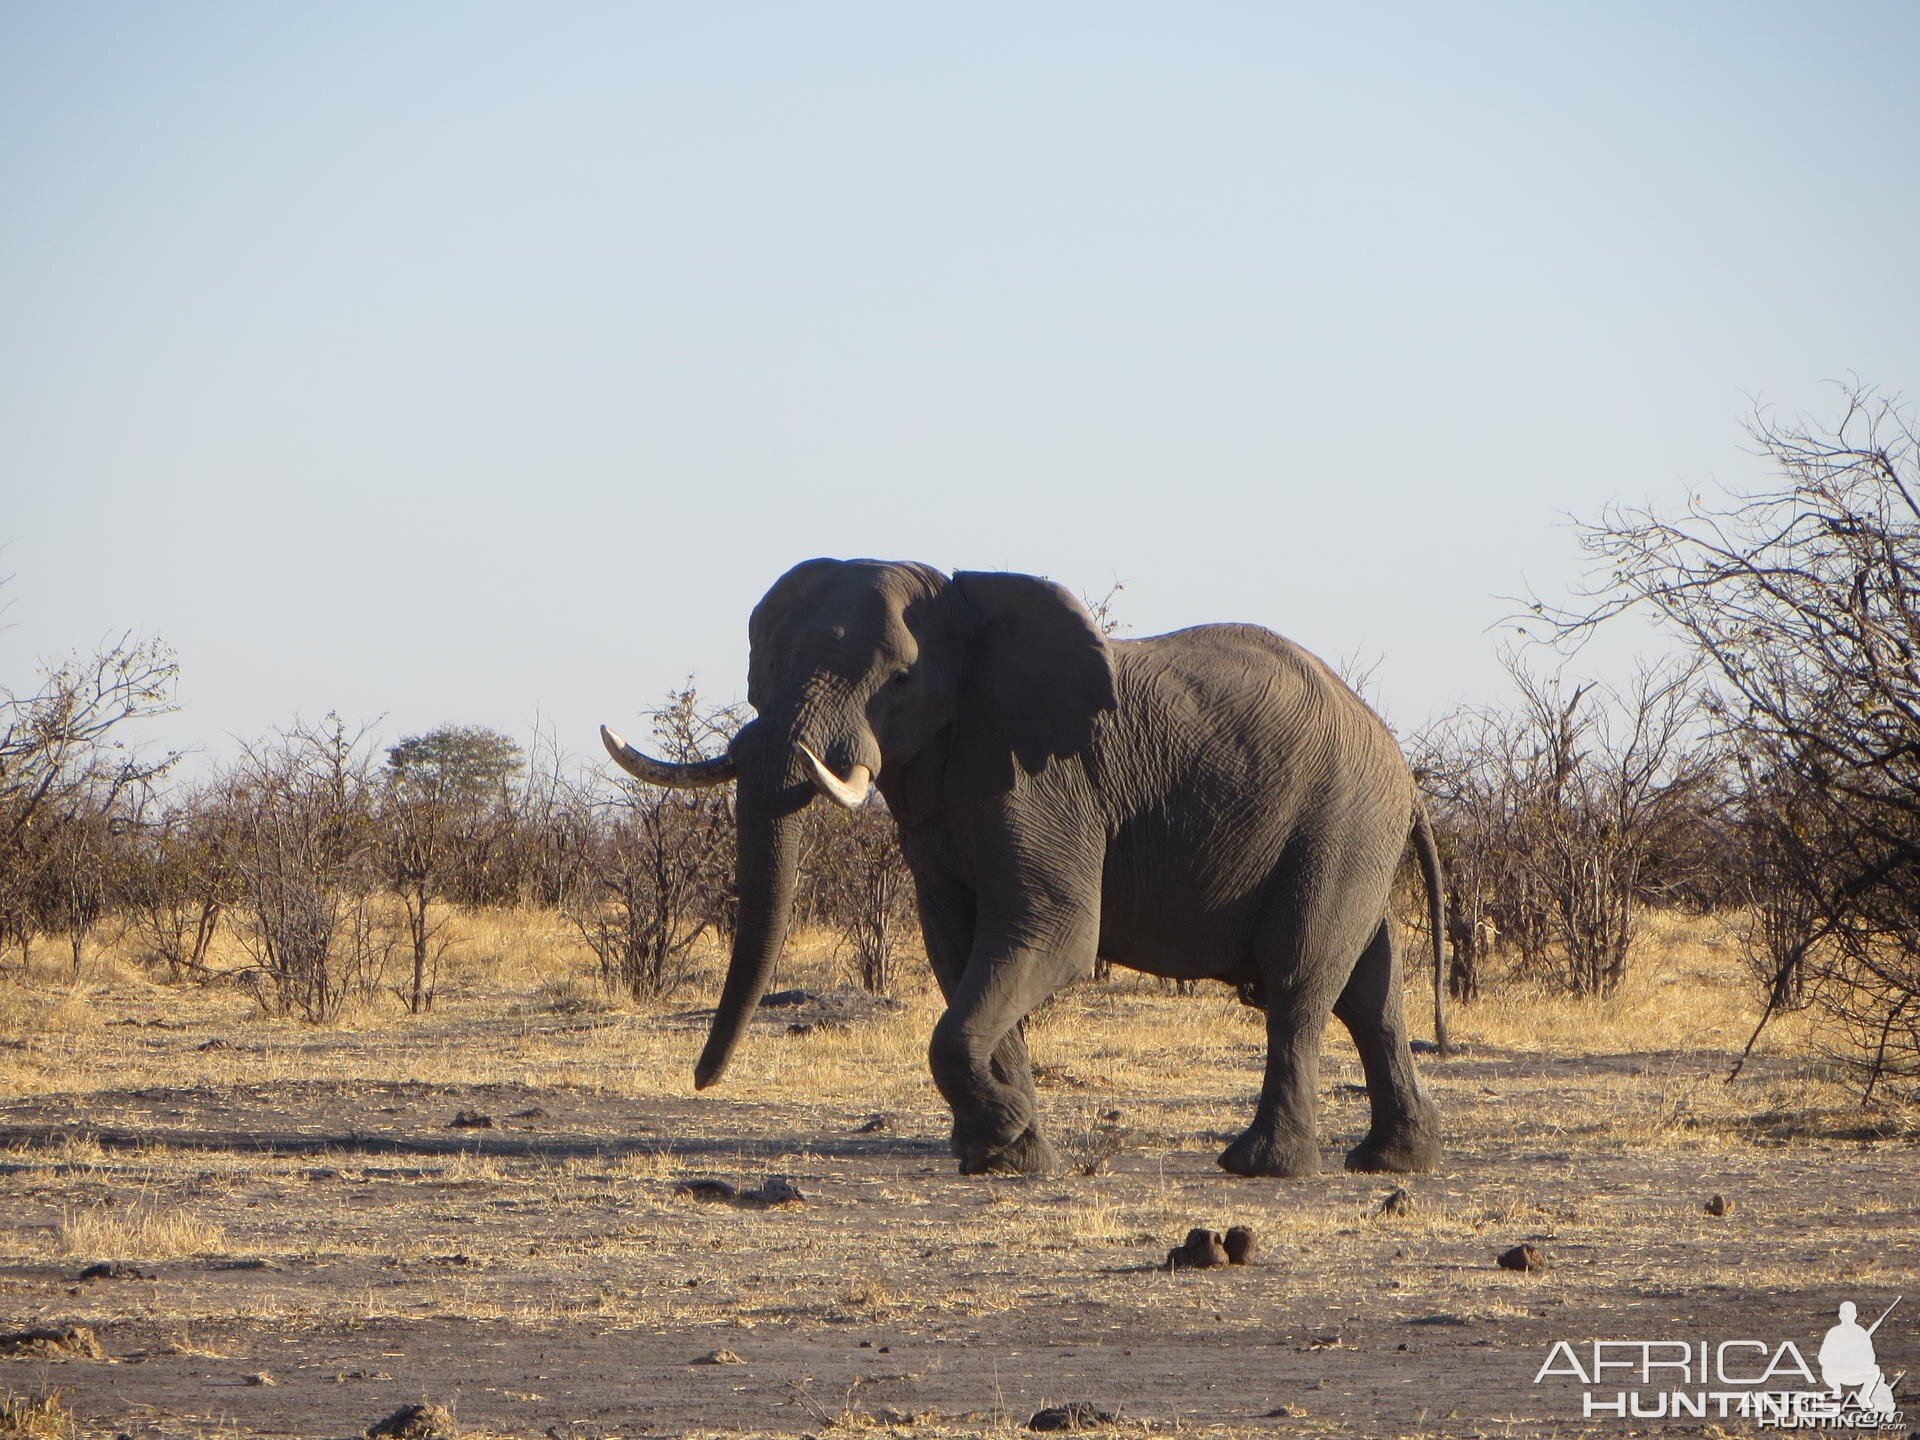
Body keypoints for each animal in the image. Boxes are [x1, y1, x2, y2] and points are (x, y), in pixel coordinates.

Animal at [606, 556, 1443, 1175]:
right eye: (763, 667)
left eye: (899, 681)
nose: (700, 1081)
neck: (965, 609)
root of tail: (1404, 771)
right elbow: (958, 946)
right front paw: (1006, 1156)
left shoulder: (1042, 779)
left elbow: (1051, 934)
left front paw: (1002, 1135)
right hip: (1353, 830)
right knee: (1370, 993)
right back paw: (1391, 1162)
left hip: (1340, 822)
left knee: (1299, 983)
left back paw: (1261, 1166)